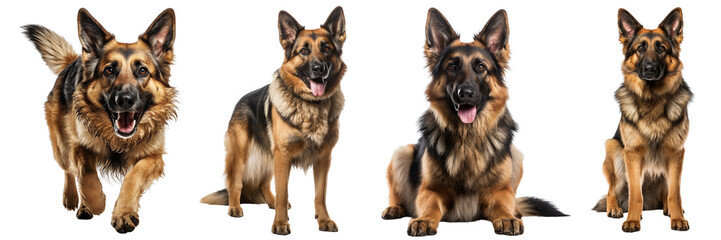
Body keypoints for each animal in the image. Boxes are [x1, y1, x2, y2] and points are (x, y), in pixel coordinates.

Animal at [22, 8, 176, 233]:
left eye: (143, 71)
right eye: (109, 70)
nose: (124, 100)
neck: (117, 140)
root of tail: (74, 60)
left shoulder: (153, 157)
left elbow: (133, 176)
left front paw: (123, 212)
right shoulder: (80, 146)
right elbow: (87, 178)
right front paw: (96, 204)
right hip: (61, 147)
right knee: (69, 170)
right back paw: (73, 199)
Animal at [200, 6, 346, 235]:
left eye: (326, 49)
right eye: (304, 51)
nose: (319, 68)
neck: (311, 106)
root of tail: (239, 102)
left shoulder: (323, 158)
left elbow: (319, 194)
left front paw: (323, 220)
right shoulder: (283, 155)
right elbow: (283, 190)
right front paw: (280, 223)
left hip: (270, 157)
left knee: (263, 185)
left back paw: (273, 203)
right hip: (241, 155)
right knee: (235, 184)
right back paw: (235, 207)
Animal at [380, 8, 564, 236]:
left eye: (481, 67)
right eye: (452, 66)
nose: (465, 93)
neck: (467, 137)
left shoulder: (500, 191)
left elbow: (503, 204)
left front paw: (507, 217)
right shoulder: (430, 190)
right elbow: (429, 205)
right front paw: (424, 219)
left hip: (517, 156)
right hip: (401, 153)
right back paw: (394, 208)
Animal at [592, 7, 692, 232]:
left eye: (662, 48)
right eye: (640, 49)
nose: (649, 69)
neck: (652, 99)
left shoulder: (676, 153)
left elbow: (675, 194)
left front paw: (677, 218)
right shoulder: (632, 154)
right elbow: (635, 195)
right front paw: (632, 220)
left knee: (666, 193)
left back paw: (669, 209)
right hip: (614, 149)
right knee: (614, 190)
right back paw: (615, 208)